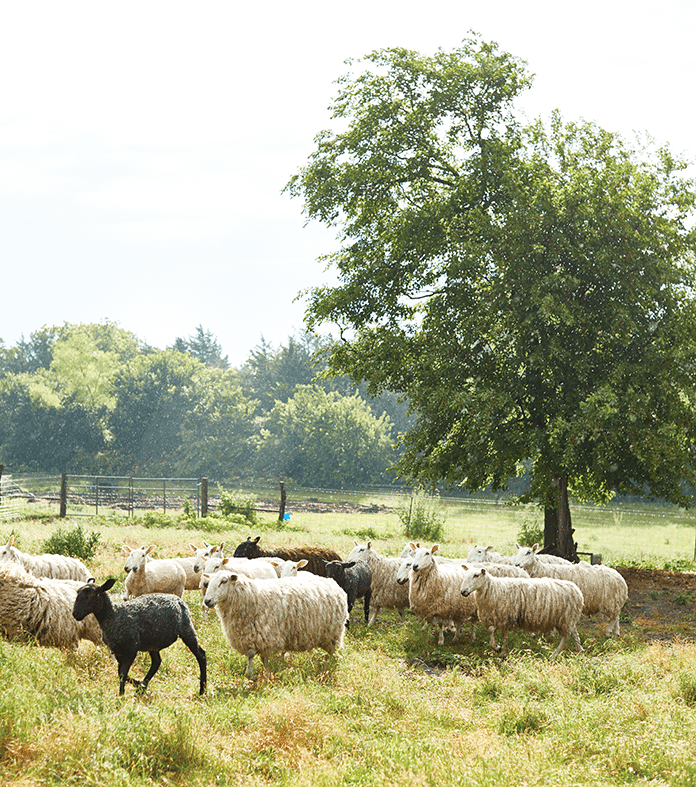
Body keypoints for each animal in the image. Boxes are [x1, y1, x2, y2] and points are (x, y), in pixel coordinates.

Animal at [72, 580, 207, 696]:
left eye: (92, 595)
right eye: (78, 593)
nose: (75, 614)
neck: (113, 615)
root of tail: (177, 599)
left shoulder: (131, 649)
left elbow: (122, 673)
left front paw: (121, 695)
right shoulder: (117, 650)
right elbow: (121, 673)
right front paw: (137, 684)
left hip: (186, 628)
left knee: (201, 655)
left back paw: (203, 689)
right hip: (153, 641)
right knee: (156, 662)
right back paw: (142, 687)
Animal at [204, 568, 348, 680]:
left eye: (224, 581)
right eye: (208, 583)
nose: (207, 601)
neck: (250, 597)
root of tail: (333, 582)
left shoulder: (264, 635)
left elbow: (255, 656)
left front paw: (256, 675)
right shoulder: (253, 636)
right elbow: (260, 658)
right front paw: (265, 674)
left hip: (333, 633)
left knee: (331, 653)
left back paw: (325, 667)